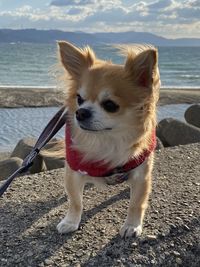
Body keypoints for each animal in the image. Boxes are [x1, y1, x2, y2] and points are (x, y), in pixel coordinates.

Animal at [56, 42, 161, 239]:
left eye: (110, 105)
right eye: (79, 99)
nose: (80, 113)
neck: (107, 140)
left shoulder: (141, 174)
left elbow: (136, 203)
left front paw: (132, 225)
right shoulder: (73, 171)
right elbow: (75, 201)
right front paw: (70, 222)